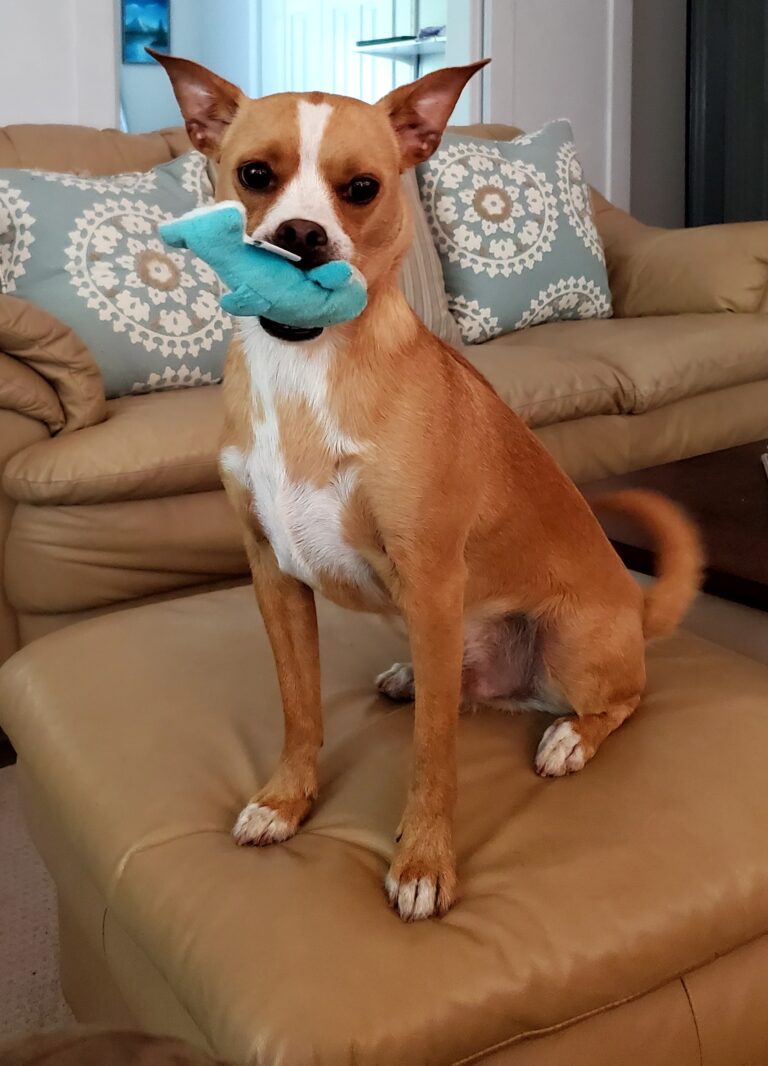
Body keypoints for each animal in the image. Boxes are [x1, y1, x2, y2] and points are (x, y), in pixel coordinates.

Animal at [151, 50, 704, 921]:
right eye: (254, 174)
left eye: (362, 187)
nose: (300, 236)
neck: (303, 365)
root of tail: (638, 610)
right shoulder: (274, 577)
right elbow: (300, 710)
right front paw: (285, 801)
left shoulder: (434, 575)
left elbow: (433, 756)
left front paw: (424, 861)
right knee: (458, 682)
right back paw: (414, 676)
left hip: (569, 647)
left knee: (621, 701)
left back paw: (569, 738)